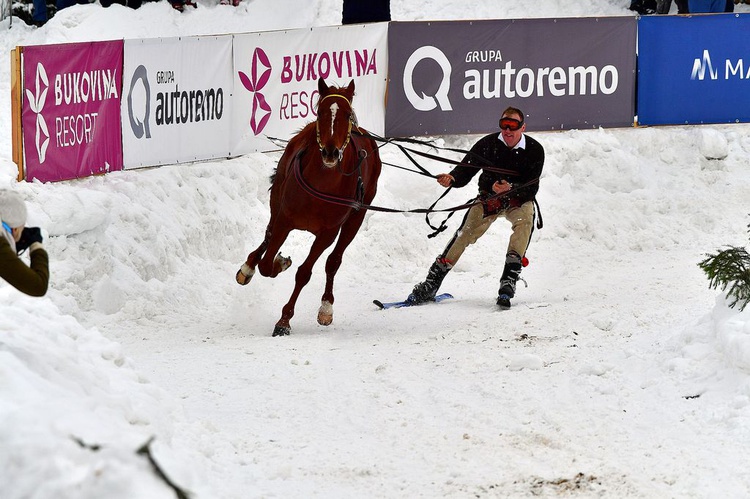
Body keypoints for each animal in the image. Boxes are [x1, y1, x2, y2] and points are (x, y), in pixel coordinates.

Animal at [236, 77, 382, 336]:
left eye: (346, 114)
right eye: (321, 112)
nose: (331, 152)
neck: (324, 179)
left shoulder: (328, 233)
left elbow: (305, 272)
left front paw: (284, 320)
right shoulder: (285, 219)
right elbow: (267, 263)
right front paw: (277, 263)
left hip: (357, 216)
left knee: (334, 261)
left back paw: (326, 307)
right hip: (277, 198)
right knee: (268, 234)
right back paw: (248, 266)